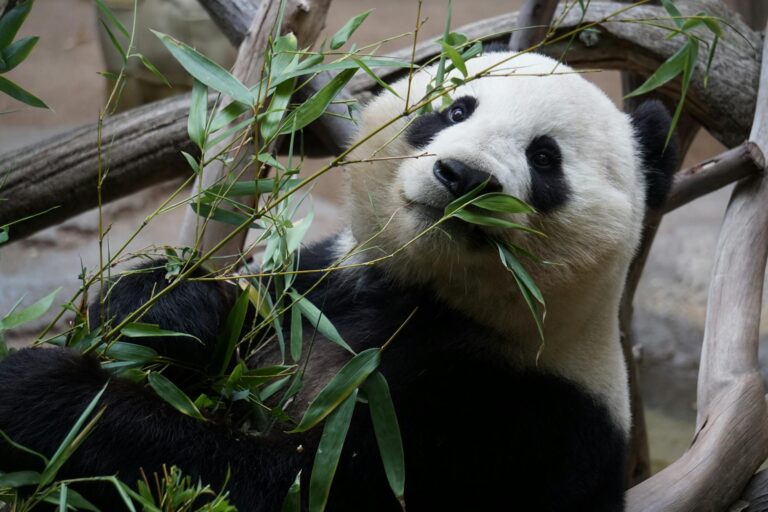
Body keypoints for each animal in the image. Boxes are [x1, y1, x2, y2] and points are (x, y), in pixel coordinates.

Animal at [0, 50, 676, 512]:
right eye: (456, 107)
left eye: (544, 157)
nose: (462, 177)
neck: (432, 296)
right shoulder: (323, 286)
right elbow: (230, 312)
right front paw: (173, 312)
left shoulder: (520, 421)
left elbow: (283, 484)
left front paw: (43, 395)